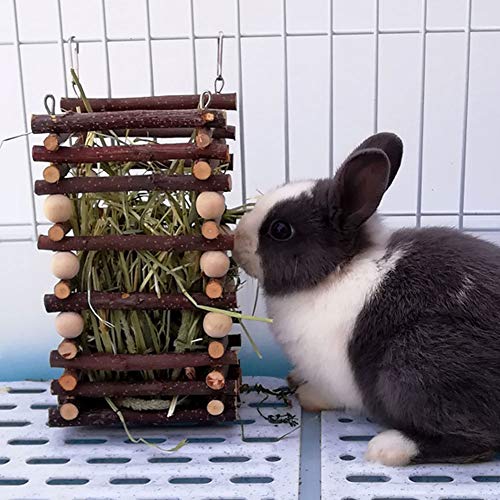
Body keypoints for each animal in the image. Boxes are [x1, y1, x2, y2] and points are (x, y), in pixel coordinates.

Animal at [233, 133, 500, 464]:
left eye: (280, 229)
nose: (235, 241)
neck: (336, 271)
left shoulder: (334, 376)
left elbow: (330, 394)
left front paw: (306, 395)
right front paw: (295, 379)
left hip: (417, 361)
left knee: (477, 440)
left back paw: (389, 448)